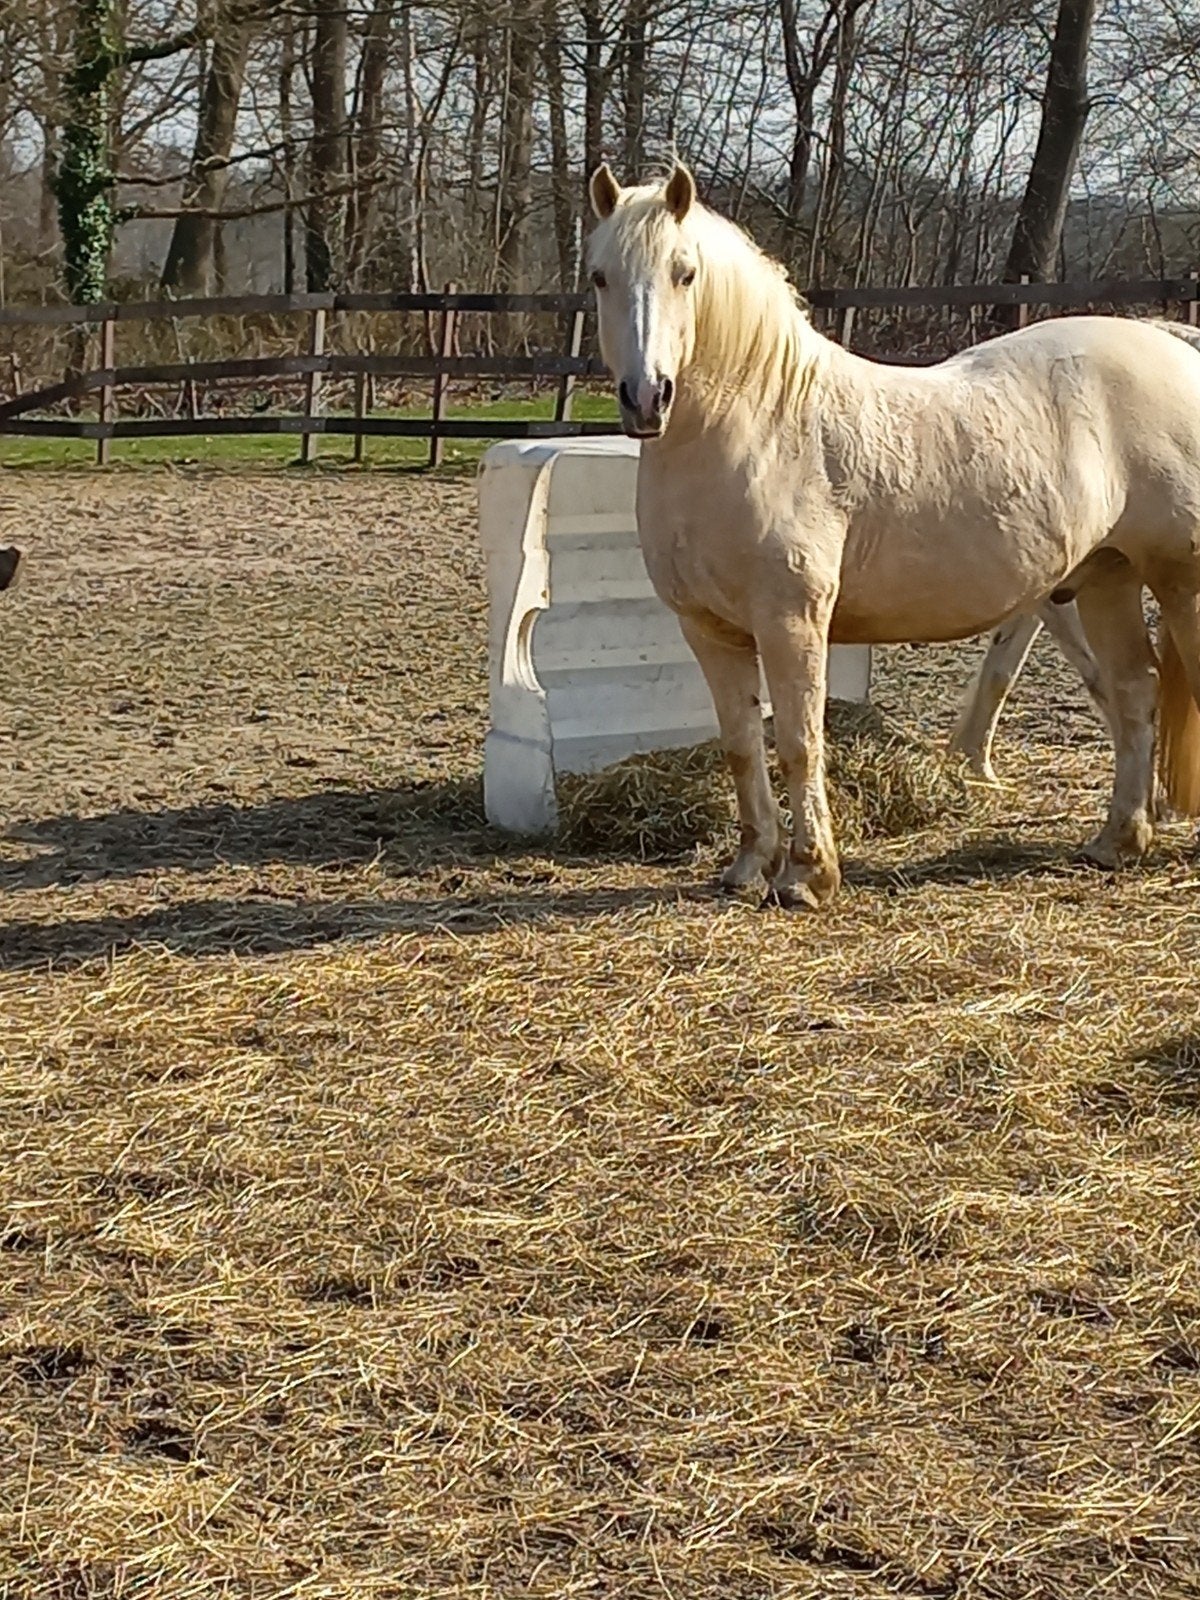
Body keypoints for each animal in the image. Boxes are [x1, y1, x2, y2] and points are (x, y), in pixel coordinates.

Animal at [586, 161, 1200, 907]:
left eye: (685, 272)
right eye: (599, 276)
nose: (646, 398)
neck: (759, 428)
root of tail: (1178, 353)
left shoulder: (791, 621)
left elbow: (799, 742)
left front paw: (807, 875)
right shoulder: (709, 631)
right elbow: (741, 746)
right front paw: (748, 866)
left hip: (1179, 579)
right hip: (1107, 578)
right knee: (1135, 691)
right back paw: (1117, 841)